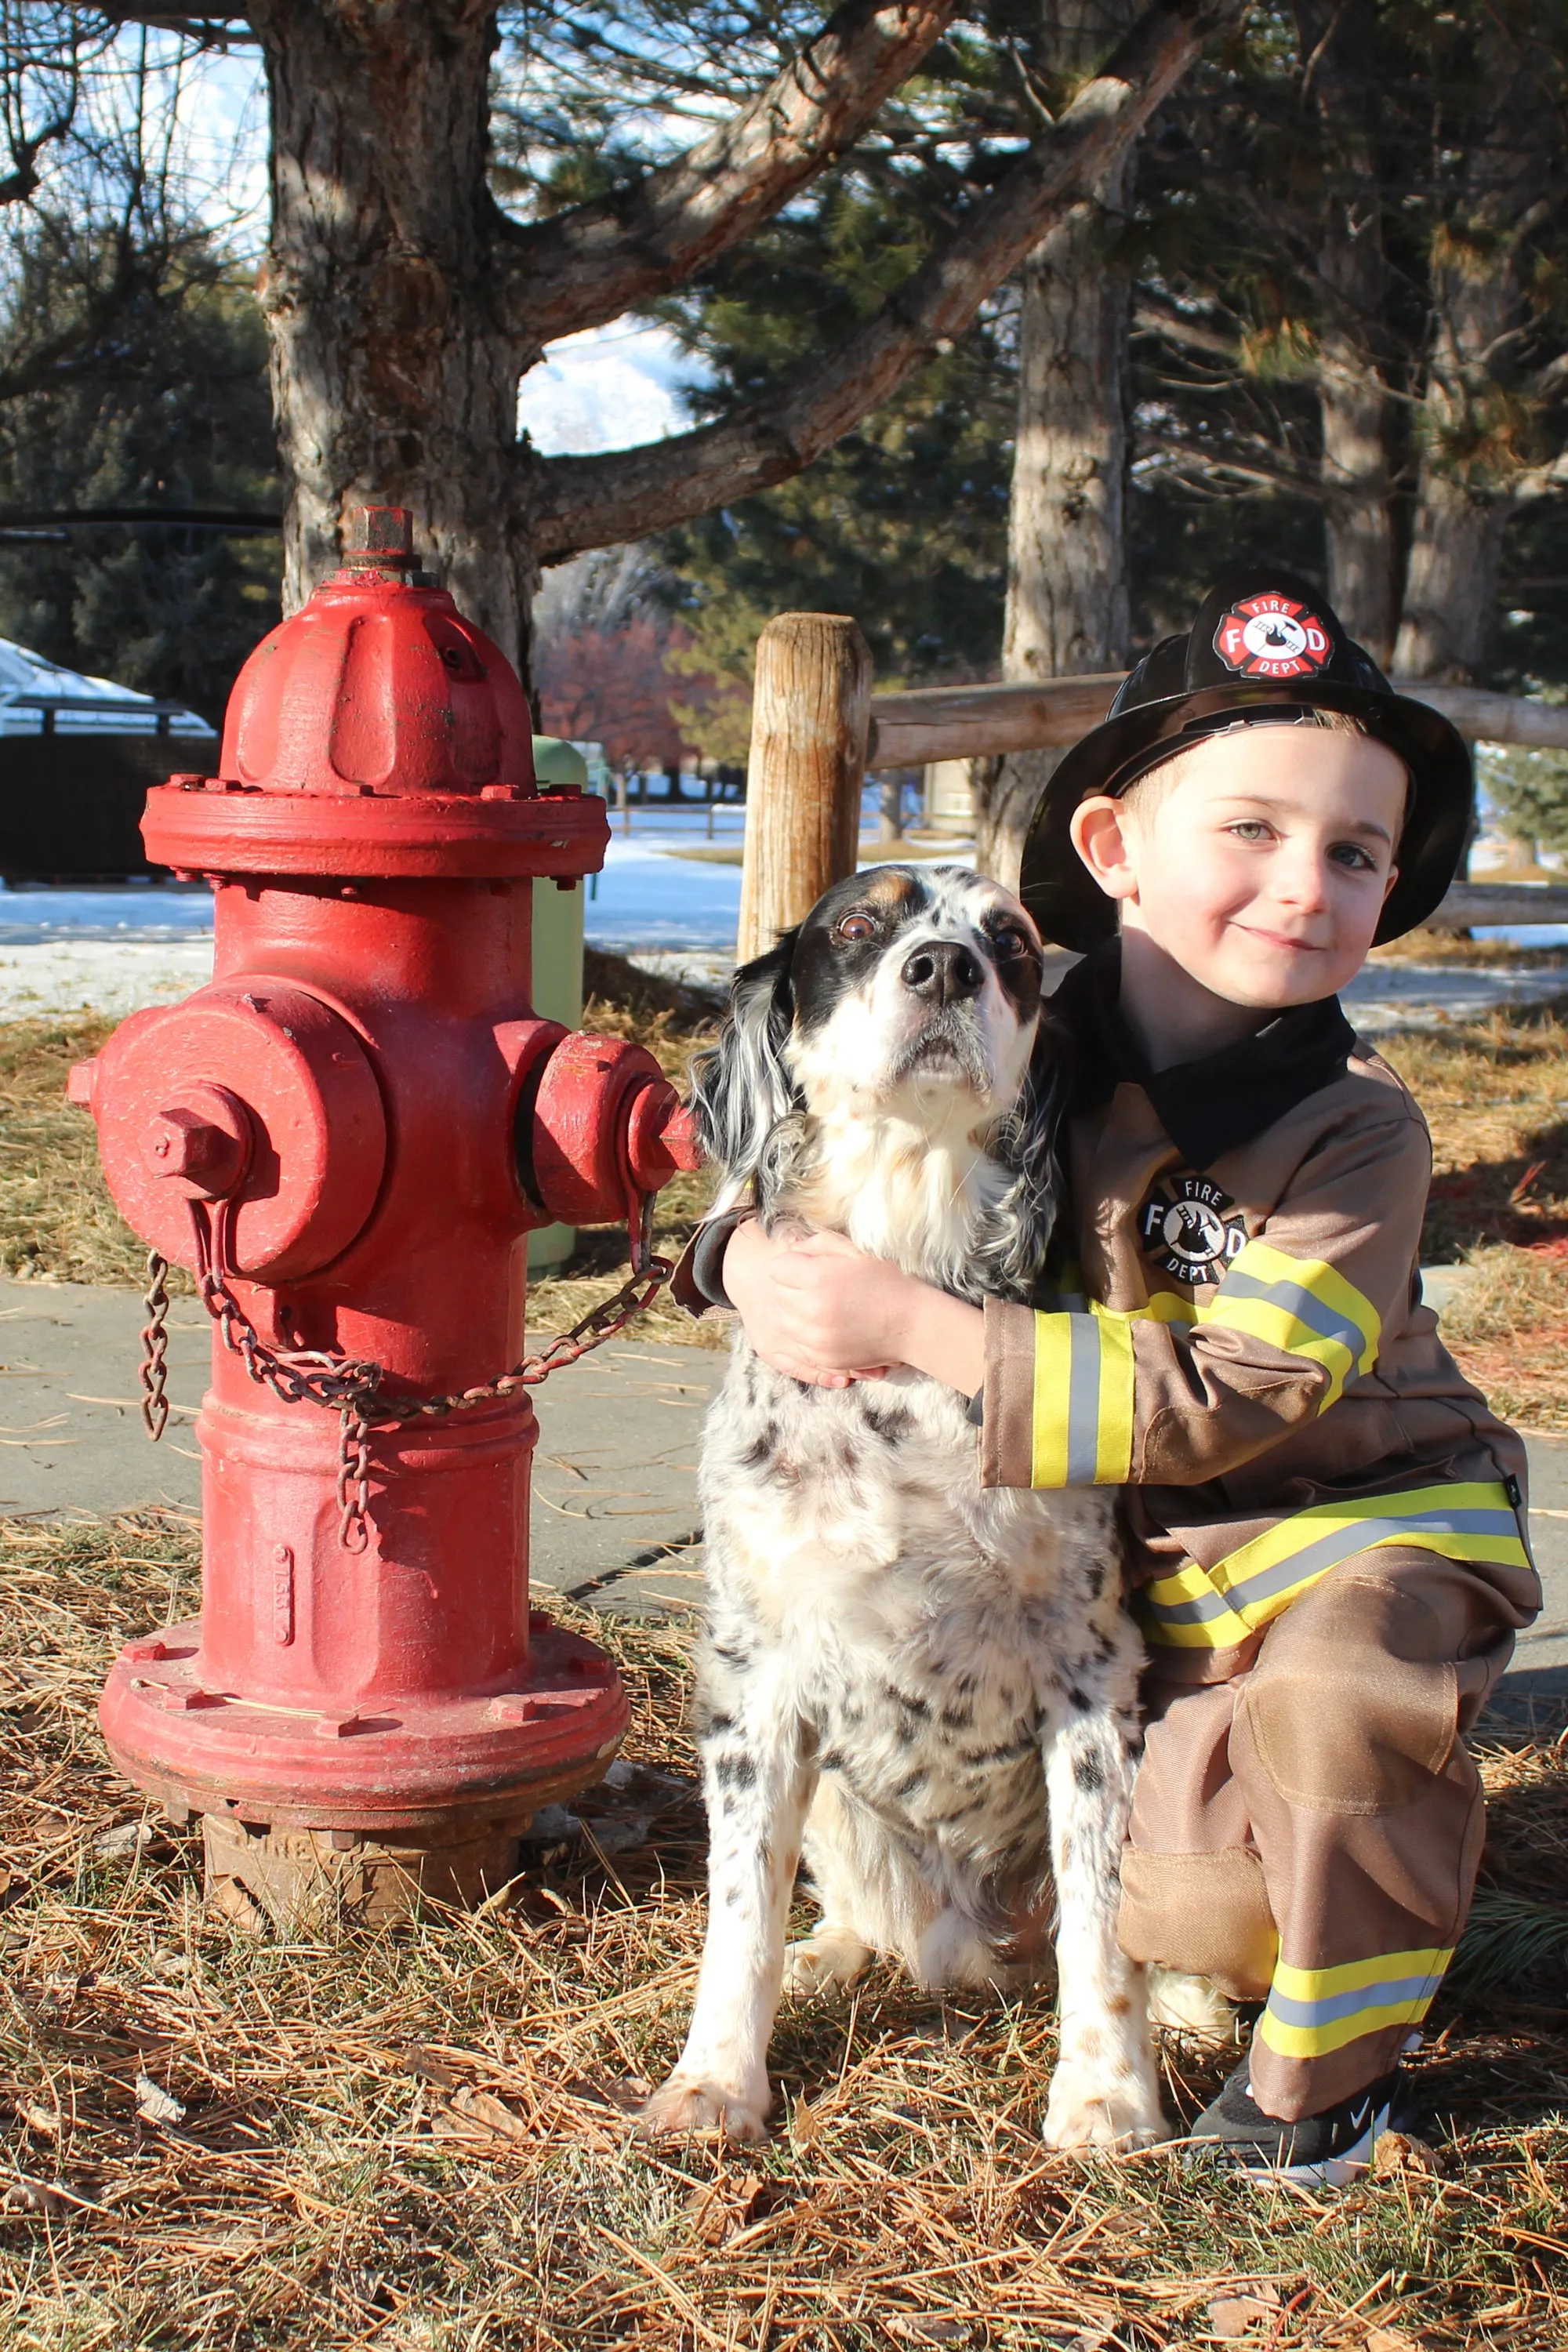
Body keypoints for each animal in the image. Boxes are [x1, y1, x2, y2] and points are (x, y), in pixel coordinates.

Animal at [639, 866, 1166, 2154]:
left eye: (1011, 940)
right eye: (858, 925)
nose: (943, 967)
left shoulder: (1095, 1672)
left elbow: (1104, 1922)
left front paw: (1105, 2097)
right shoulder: (754, 1674)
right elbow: (739, 1911)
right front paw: (715, 2082)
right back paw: (830, 1956)